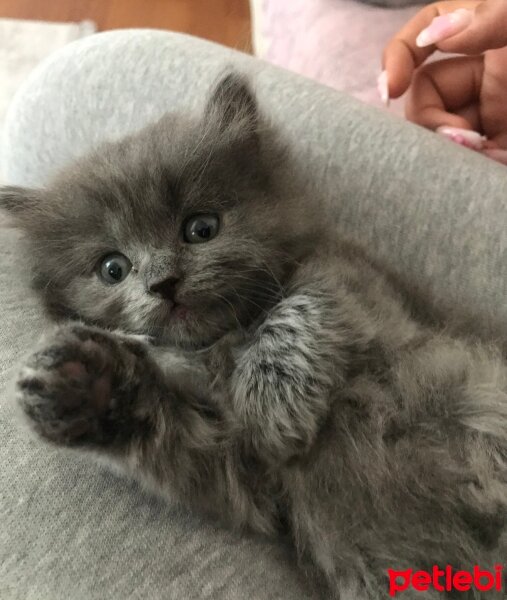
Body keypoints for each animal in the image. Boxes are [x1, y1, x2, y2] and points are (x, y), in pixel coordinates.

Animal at [0, 76, 507, 600]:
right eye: (112, 268)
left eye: (201, 228)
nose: (163, 283)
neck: (225, 343)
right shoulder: (243, 471)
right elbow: (175, 434)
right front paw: (84, 383)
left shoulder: (366, 287)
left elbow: (305, 300)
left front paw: (273, 404)